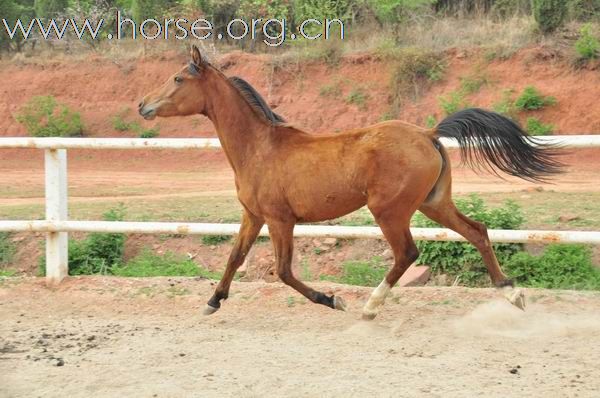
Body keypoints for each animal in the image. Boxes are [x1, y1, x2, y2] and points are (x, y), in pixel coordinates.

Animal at [139, 45, 564, 320]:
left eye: (177, 77)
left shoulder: (280, 220)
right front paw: (212, 301)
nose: (143, 105)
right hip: (434, 203)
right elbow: (234, 258)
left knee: (407, 253)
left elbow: (283, 271)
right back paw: (513, 294)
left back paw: (370, 307)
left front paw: (332, 300)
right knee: (477, 231)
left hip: (389, 210)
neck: (259, 148)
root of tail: (427, 133)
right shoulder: (253, 217)